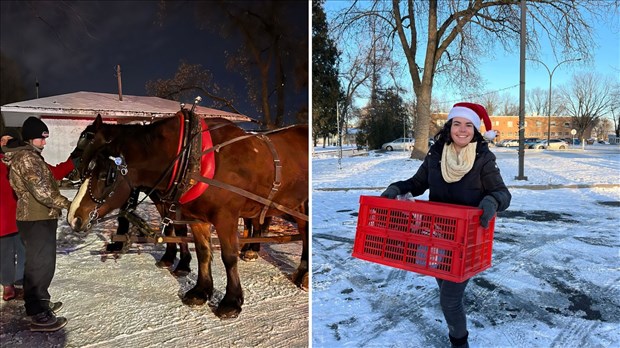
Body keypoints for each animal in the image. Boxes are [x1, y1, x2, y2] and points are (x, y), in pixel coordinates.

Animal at [67, 111, 308, 318]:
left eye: (106, 176)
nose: (74, 217)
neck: (192, 158)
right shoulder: (195, 217)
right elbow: (202, 251)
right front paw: (200, 290)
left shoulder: (226, 217)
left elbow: (228, 256)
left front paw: (231, 301)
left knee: (300, 233)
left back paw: (298, 273)